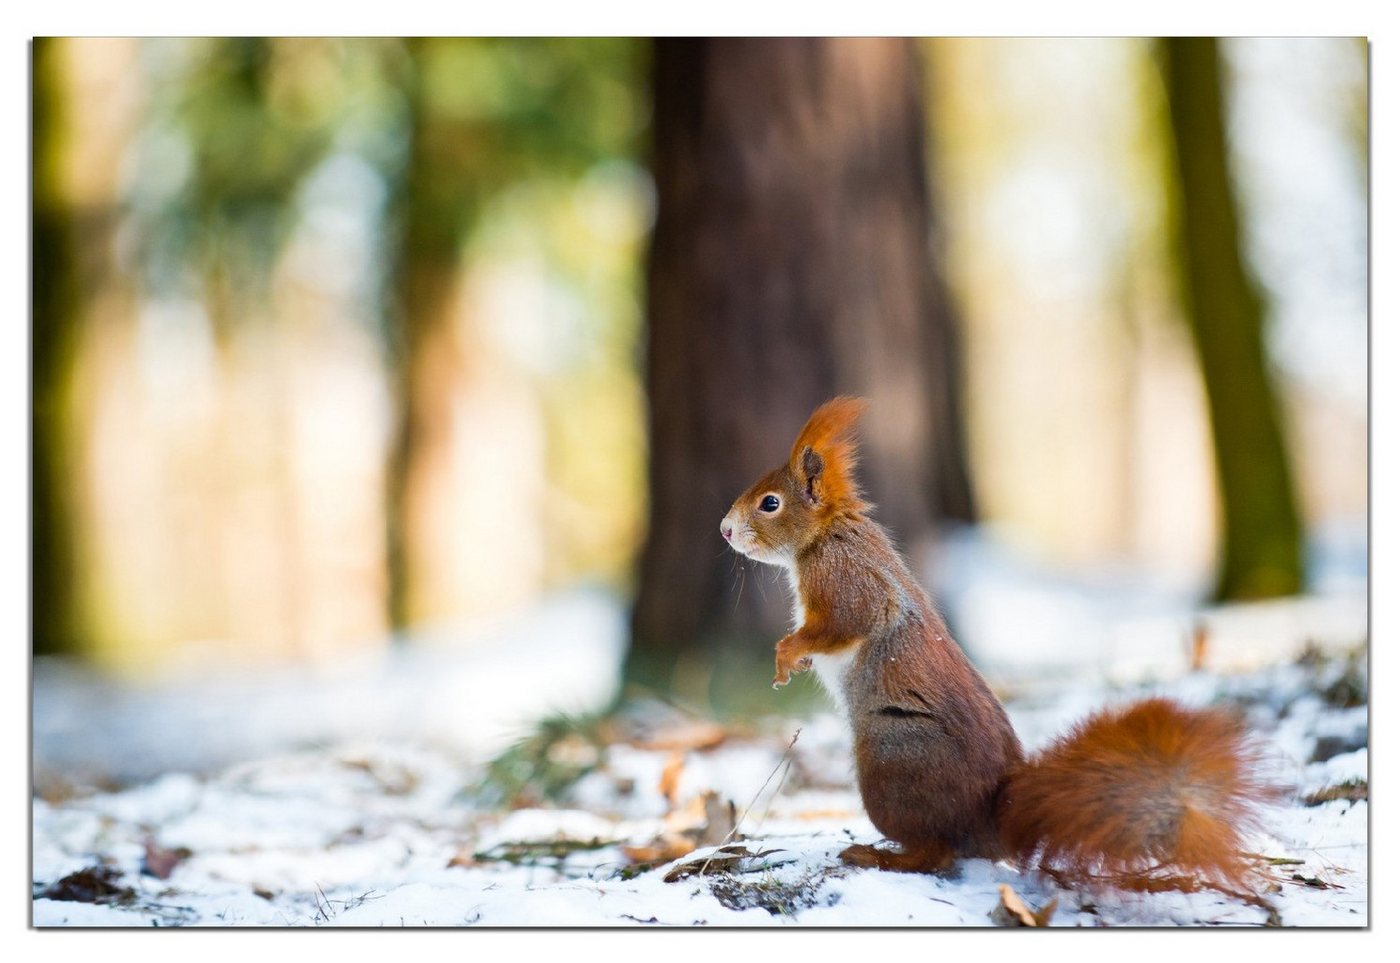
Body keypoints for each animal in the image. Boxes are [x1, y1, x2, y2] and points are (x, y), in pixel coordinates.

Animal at [722, 397, 1282, 890]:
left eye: (770, 503)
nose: (725, 530)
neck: (826, 536)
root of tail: (990, 824)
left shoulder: (846, 581)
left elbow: (843, 624)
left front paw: (786, 655)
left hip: (890, 765)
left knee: (936, 852)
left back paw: (877, 855)